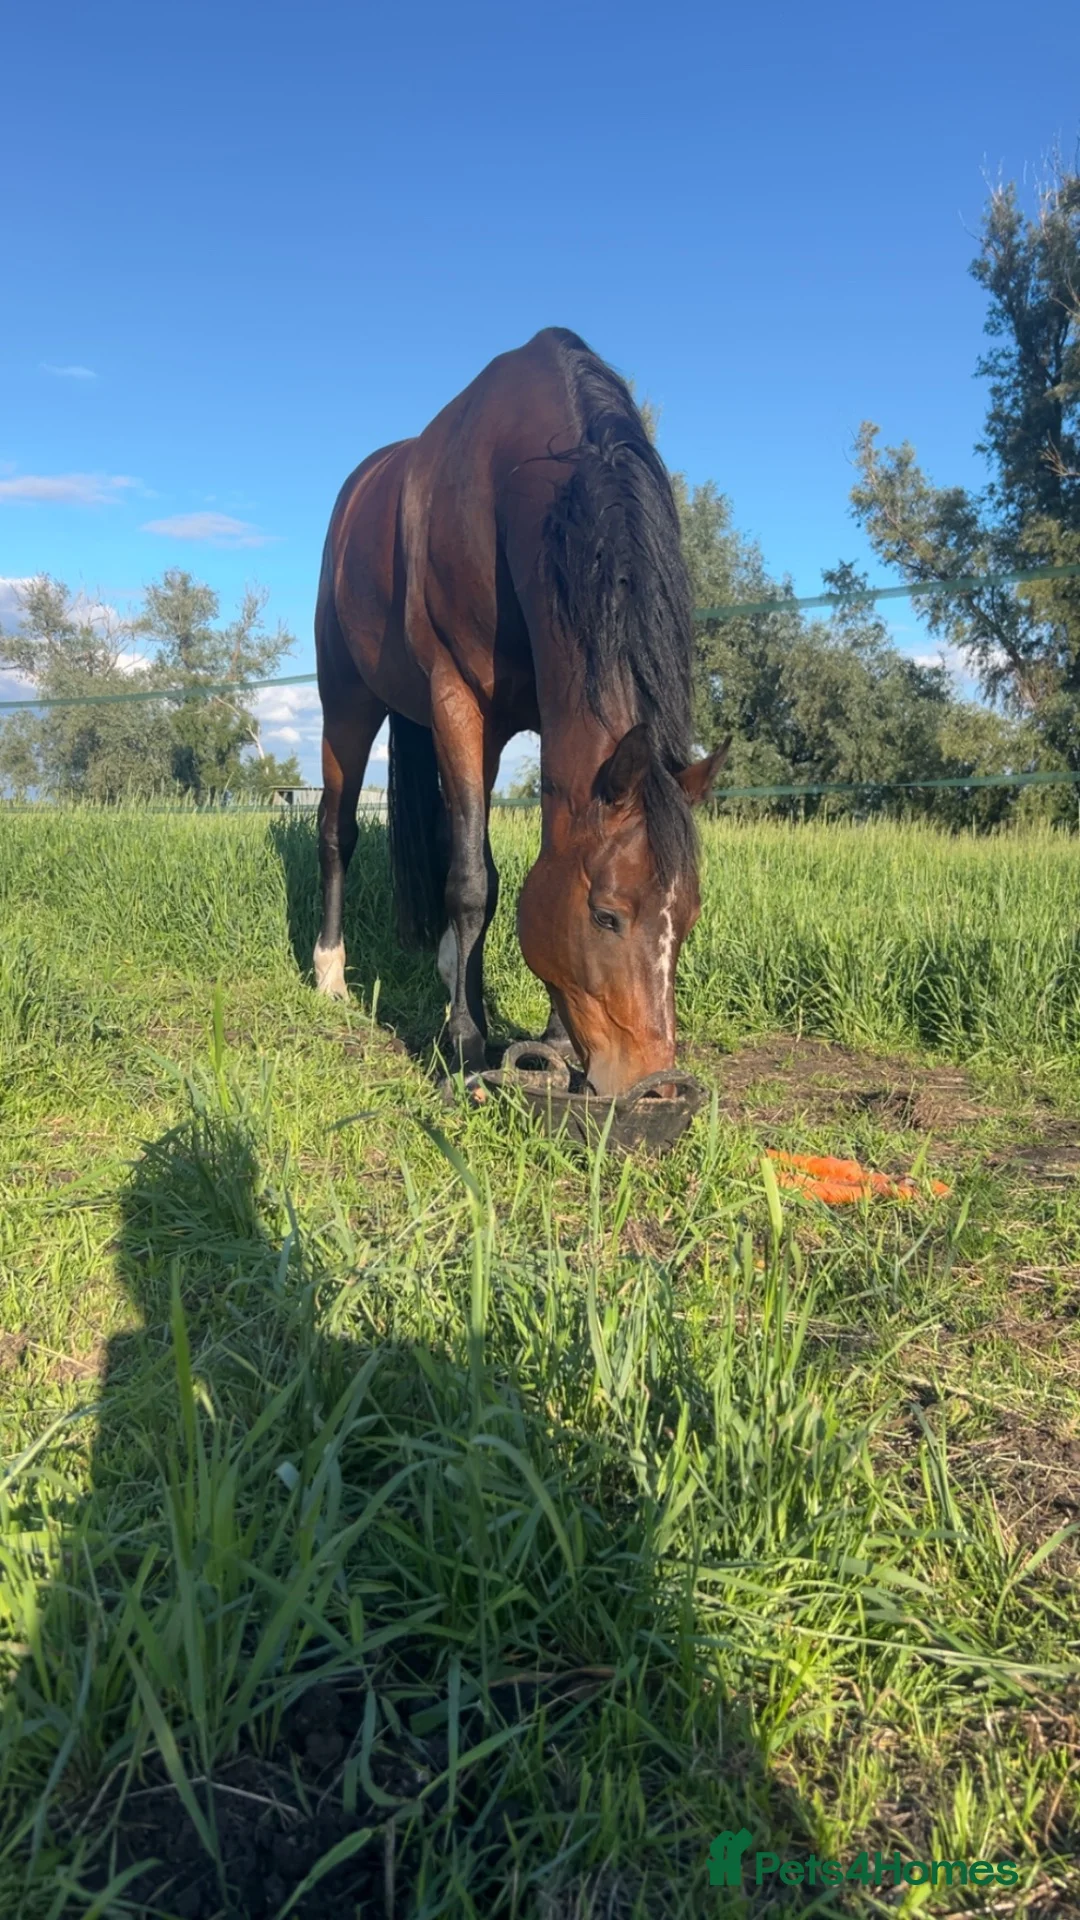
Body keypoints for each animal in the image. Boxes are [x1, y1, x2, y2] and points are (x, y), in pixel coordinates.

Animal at [313, 327, 725, 1097]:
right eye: (606, 916)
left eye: (686, 918)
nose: (656, 1084)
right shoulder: (458, 701)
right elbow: (473, 882)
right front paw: (465, 1043)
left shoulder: (543, 716)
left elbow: (518, 860)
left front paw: (553, 1044)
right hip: (345, 703)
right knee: (337, 832)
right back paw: (329, 974)